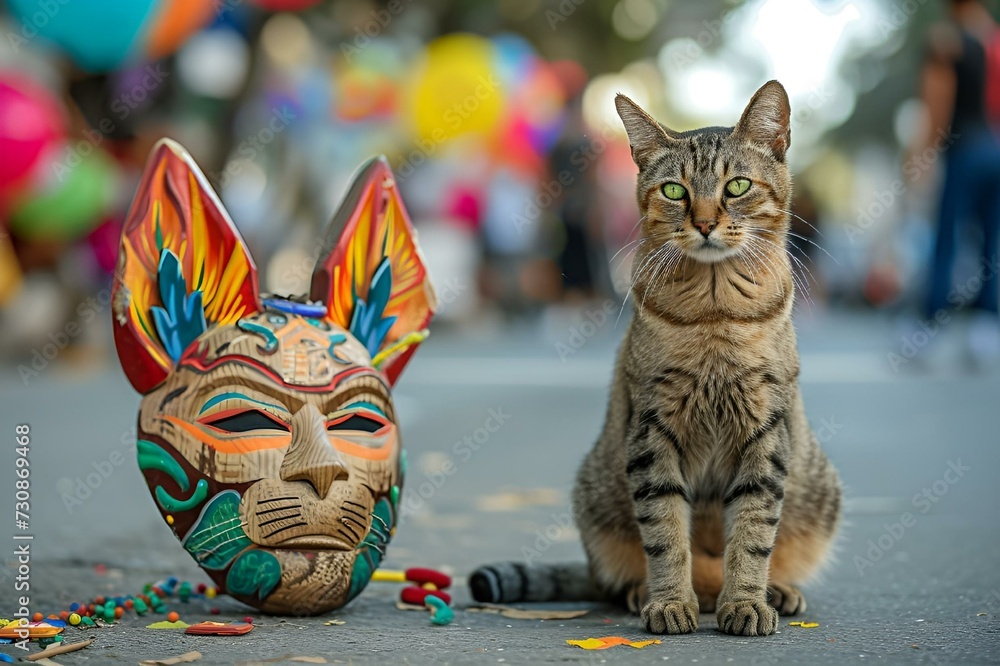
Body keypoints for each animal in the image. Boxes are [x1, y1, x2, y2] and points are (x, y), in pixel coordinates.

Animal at [468, 80, 836, 636]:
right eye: (674, 192)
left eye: (736, 187)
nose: (704, 223)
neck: (714, 313)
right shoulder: (652, 430)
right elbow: (665, 533)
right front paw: (669, 602)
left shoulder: (765, 431)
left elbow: (753, 532)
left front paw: (745, 601)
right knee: (622, 575)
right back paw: (647, 591)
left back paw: (773, 591)